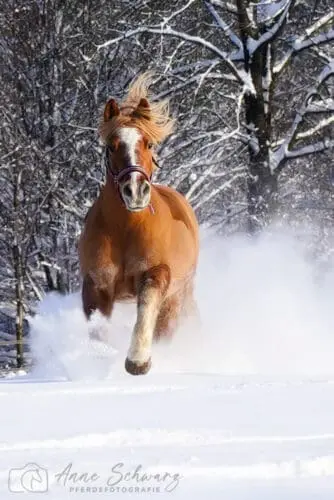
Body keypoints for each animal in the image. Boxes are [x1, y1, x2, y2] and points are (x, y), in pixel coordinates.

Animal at [78, 73, 198, 376]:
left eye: (149, 144)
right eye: (111, 146)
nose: (135, 191)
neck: (126, 229)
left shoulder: (156, 274)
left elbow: (145, 311)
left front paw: (138, 361)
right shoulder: (96, 284)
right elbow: (97, 328)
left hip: (177, 297)